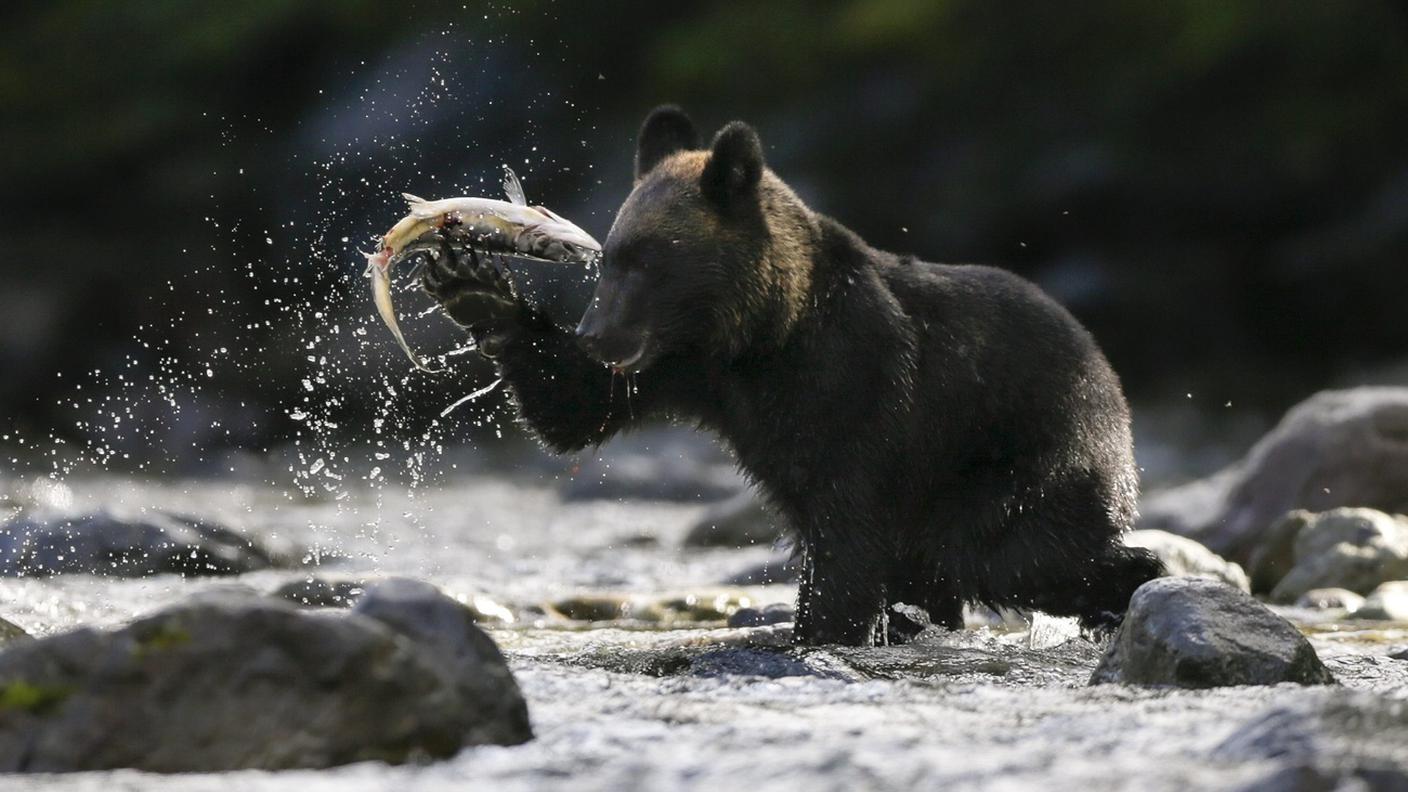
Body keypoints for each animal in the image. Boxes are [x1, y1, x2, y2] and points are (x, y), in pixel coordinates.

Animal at [421, 105, 1163, 646]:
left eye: (649, 260)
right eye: (609, 260)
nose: (598, 335)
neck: (760, 337)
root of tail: (1111, 378)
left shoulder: (859, 391)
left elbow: (847, 536)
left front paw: (816, 633)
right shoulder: (685, 373)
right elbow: (574, 407)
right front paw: (472, 282)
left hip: (1017, 457)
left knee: (1004, 550)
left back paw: (1127, 587)